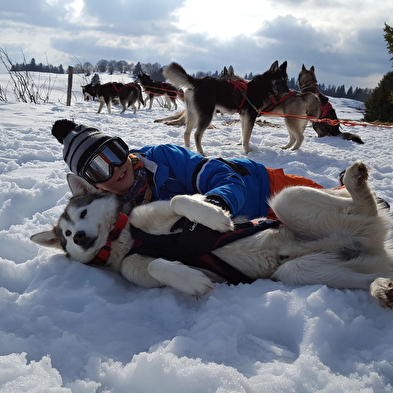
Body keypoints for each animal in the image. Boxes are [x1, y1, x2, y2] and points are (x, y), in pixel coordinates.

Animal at [30, 161, 392, 308]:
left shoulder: (152, 214)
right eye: (66, 235)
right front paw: (191, 280)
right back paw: (381, 288)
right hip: (300, 271)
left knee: (365, 206)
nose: (78, 238)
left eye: (82, 215)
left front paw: (215, 216)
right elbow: (155, 265)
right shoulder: (137, 266)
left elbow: (179, 200)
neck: (127, 238)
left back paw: (355, 182)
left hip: (287, 201)